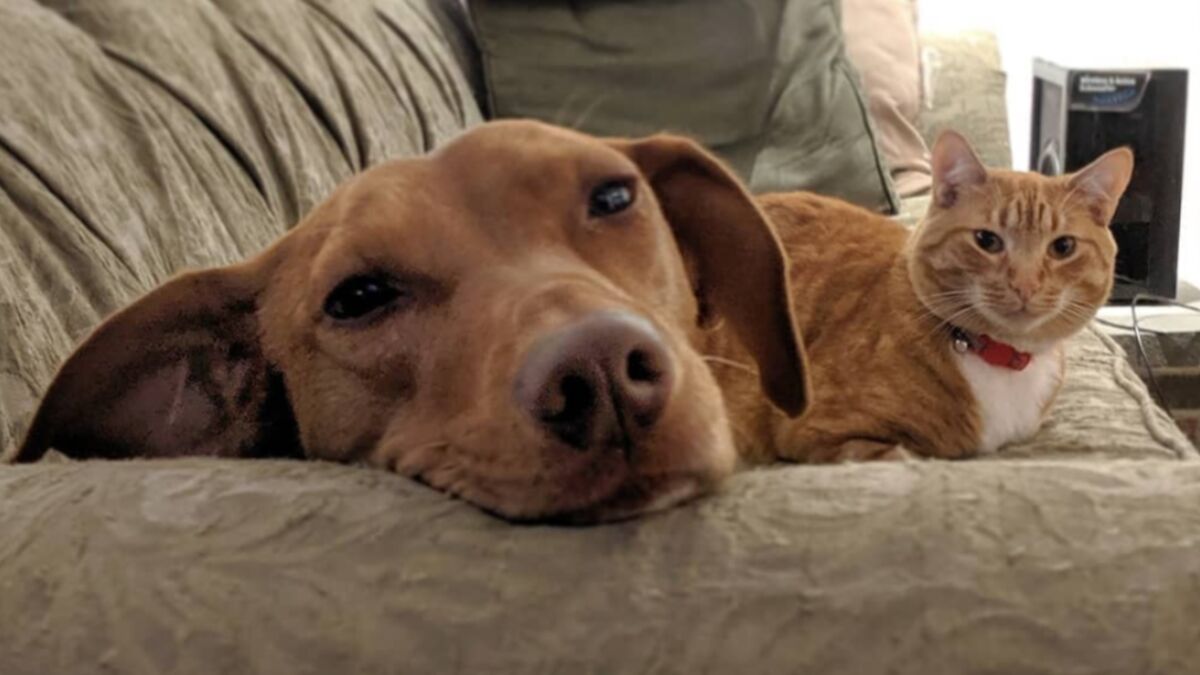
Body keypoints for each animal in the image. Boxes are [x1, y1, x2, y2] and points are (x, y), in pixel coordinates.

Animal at [705, 128, 1137, 458]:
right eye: (987, 241)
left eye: (1063, 247)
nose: (1025, 284)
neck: (997, 355)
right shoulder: (819, 432)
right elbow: (906, 455)